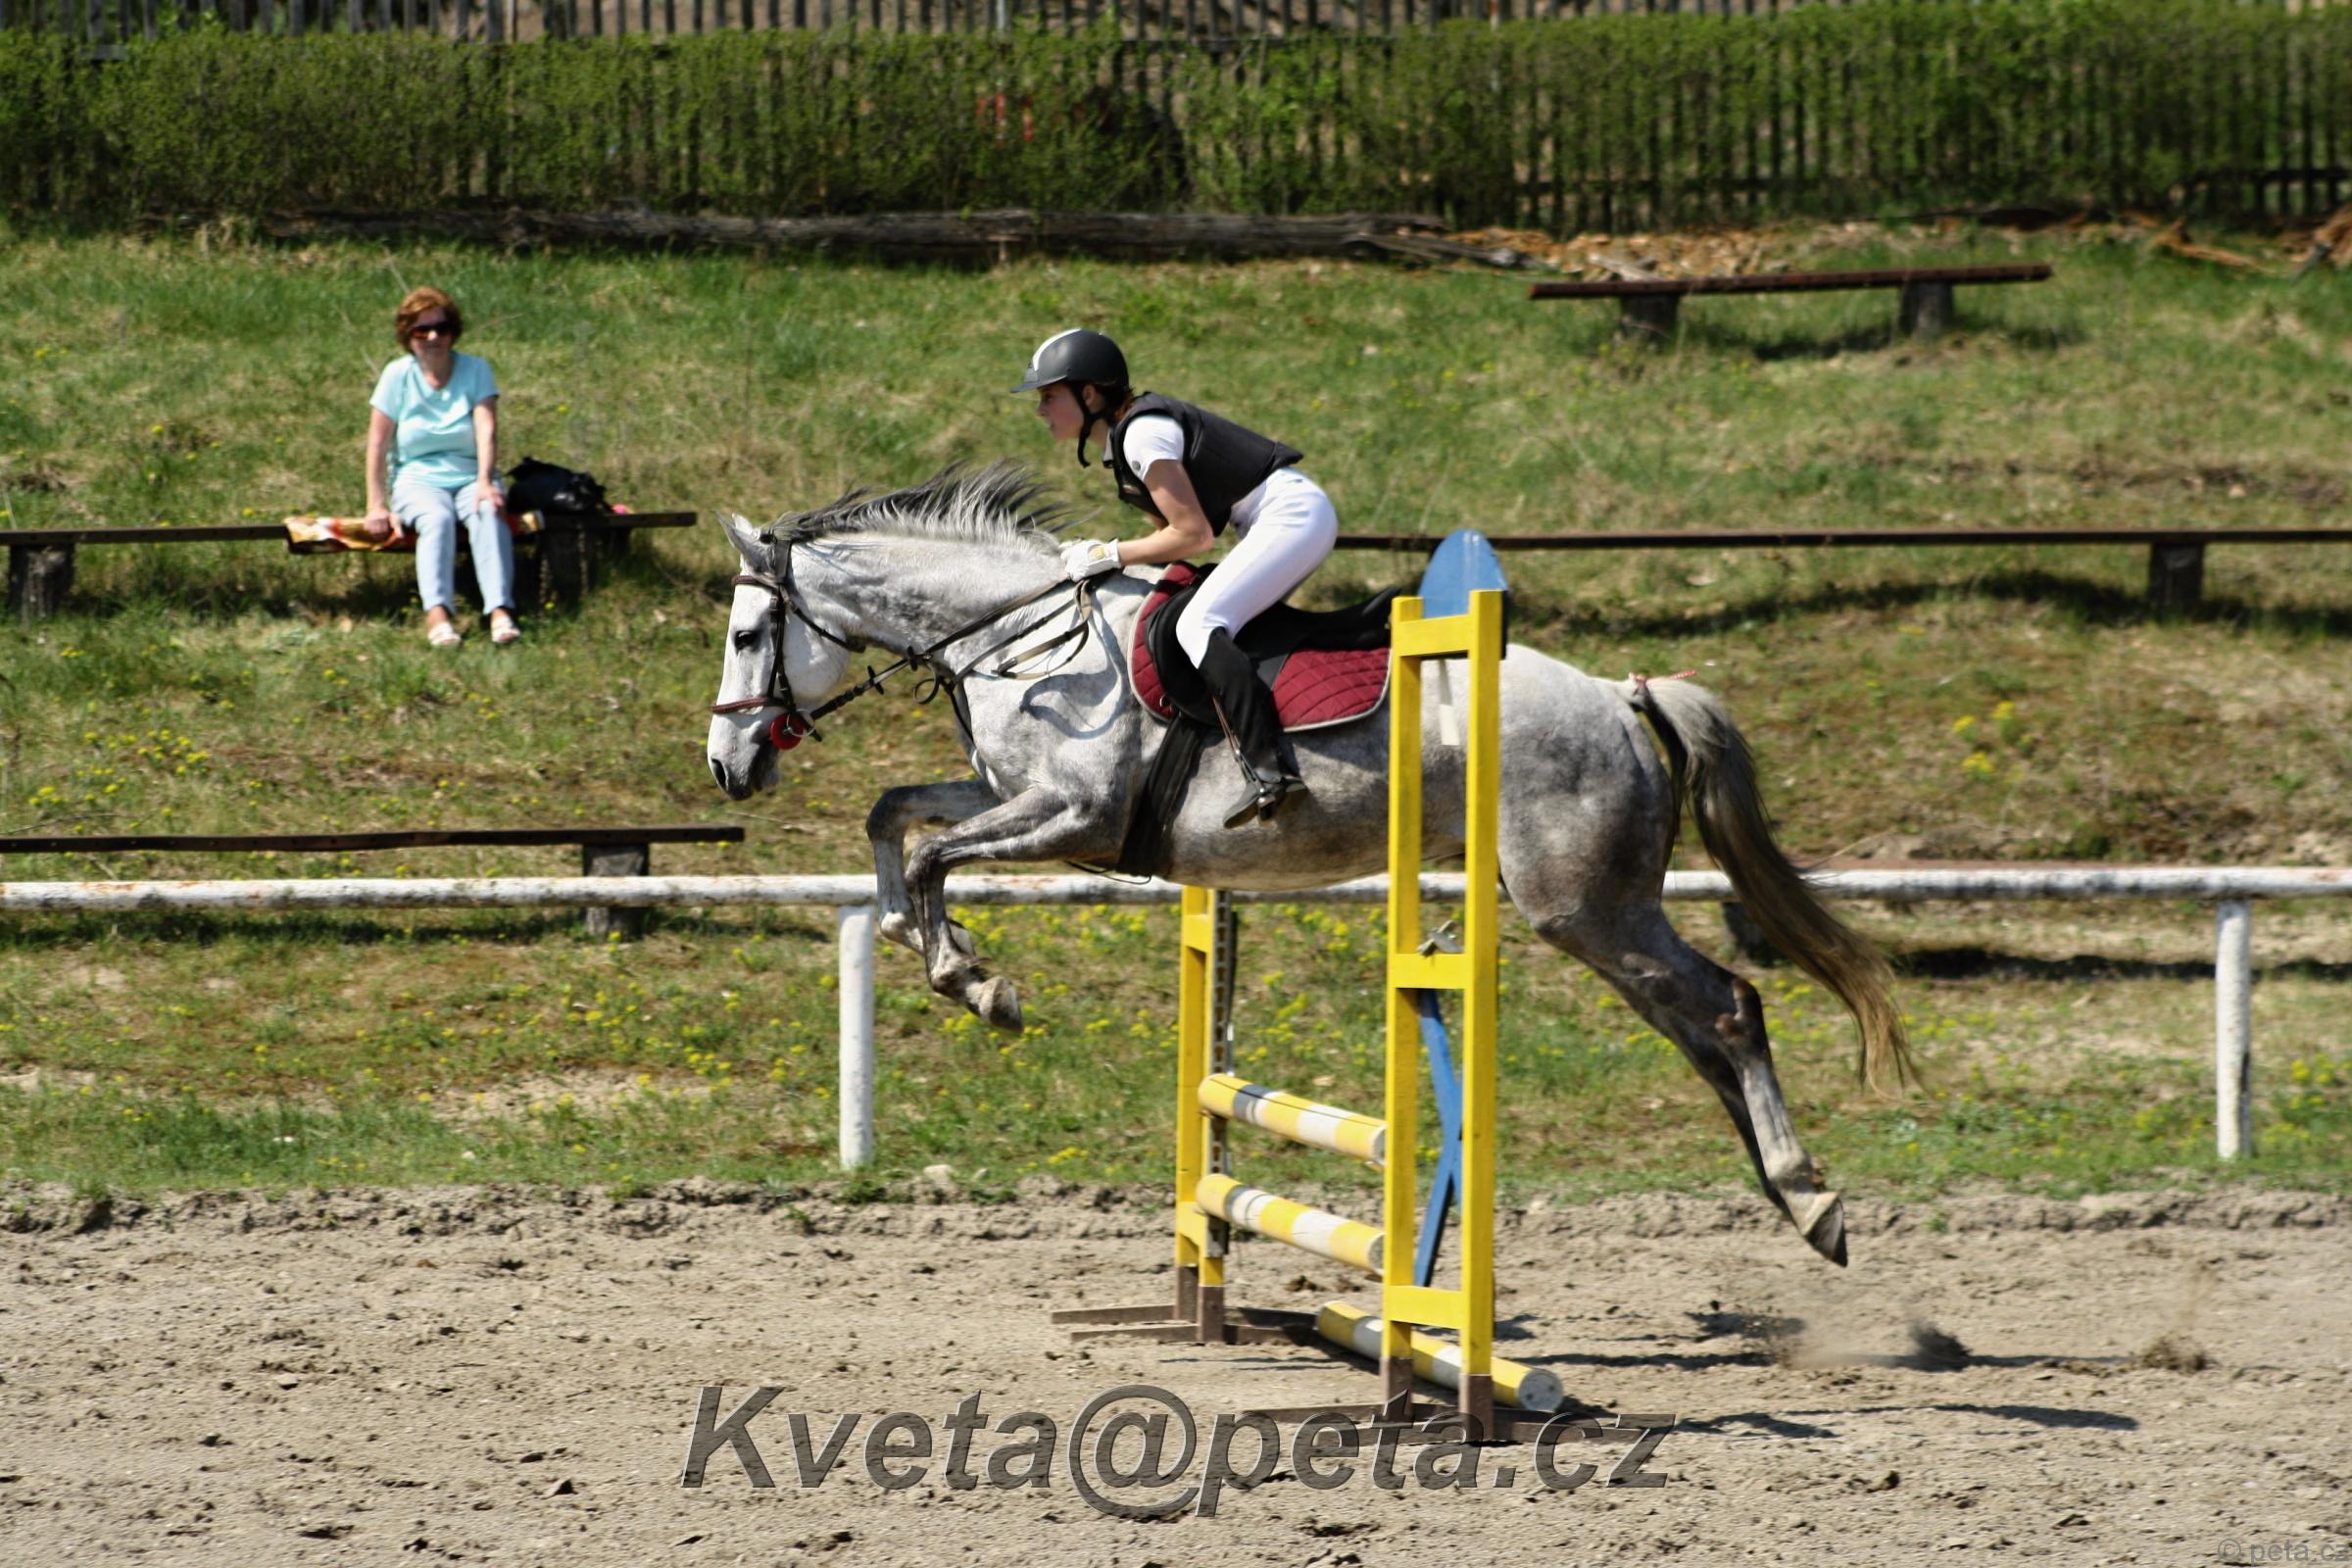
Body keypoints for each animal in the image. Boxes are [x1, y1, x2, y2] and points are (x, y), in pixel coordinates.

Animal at [704, 465, 1910, 1265]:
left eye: (747, 635)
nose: (726, 766)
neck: (1021, 638)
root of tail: (1620, 693)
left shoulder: (1072, 816)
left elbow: (932, 855)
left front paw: (974, 980)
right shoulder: (1016, 798)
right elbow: (895, 819)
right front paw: (923, 943)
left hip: (1582, 906)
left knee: (1728, 1006)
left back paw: (1812, 1200)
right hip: (1593, 911)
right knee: (1696, 1021)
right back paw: (1787, 1193)